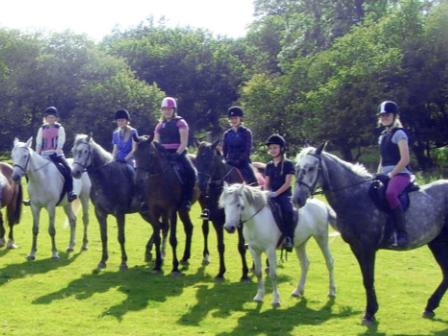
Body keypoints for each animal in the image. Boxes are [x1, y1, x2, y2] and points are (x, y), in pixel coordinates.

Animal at [133, 136, 200, 276]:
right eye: (135, 153)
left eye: (149, 154)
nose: (138, 180)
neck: (159, 180)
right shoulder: (153, 211)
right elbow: (157, 236)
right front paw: (157, 265)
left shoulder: (171, 211)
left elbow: (173, 239)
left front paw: (175, 268)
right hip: (176, 211)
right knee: (184, 227)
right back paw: (184, 257)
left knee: (187, 228)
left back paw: (186, 258)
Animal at [292, 144, 448, 326]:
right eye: (297, 168)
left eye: (311, 168)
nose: (297, 199)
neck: (356, 197)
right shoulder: (356, 247)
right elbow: (366, 279)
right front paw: (371, 312)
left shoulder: (367, 247)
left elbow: (368, 279)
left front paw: (369, 314)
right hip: (437, 242)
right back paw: (430, 306)